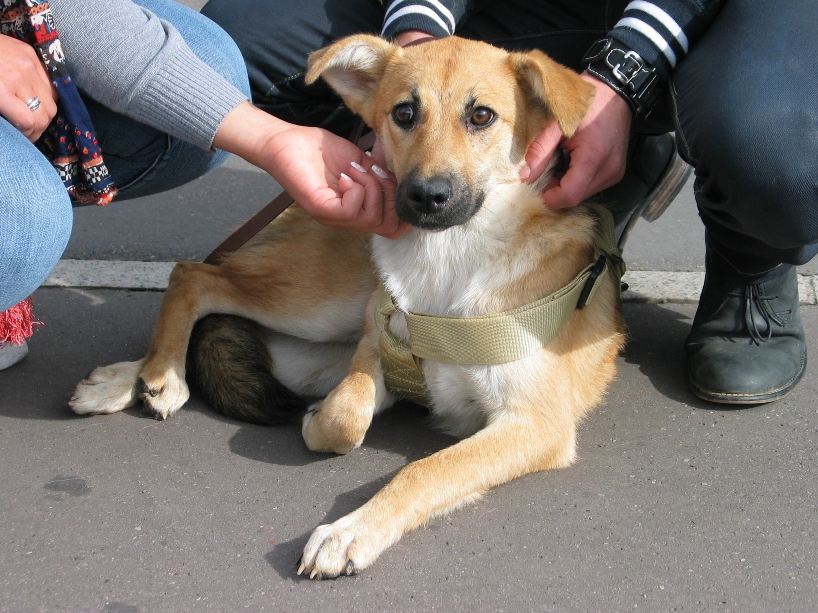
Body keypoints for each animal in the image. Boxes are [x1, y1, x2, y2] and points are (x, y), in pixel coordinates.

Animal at [70, 34, 624, 580]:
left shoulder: (536, 423)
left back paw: (138, 377)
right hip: (320, 305)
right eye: (404, 112)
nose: (426, 196)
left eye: (482, 116)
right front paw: (324, 429)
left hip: (309, 345)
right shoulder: (375, 341)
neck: (448, 259)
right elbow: (346, 416)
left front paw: (351, 531)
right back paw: (153, 375)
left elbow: (426, 468)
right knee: (194, 275)